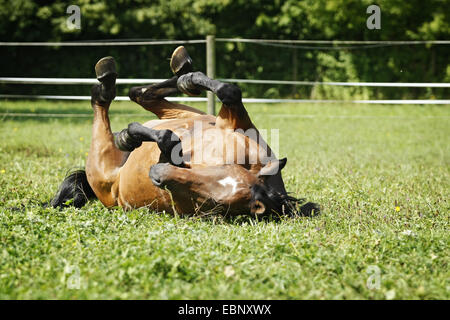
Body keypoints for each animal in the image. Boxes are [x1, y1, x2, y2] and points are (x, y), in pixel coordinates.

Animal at [50, 47, 320, 218]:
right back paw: (182, 72)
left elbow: (168, 139)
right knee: (141, 94)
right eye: (224, 169)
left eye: (216, 202)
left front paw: (129, 134)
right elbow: (230, 91)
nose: (157, 174)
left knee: (106, 102)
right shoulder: (235, 124)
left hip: (101, 166)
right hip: (189, 114)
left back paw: (109, 90)